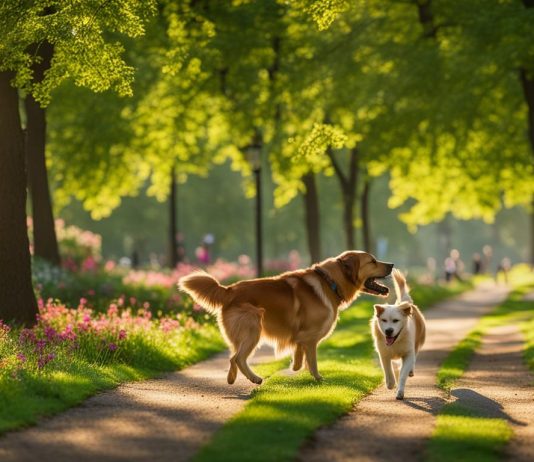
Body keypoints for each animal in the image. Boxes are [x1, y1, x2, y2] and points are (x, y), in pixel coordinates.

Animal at [180, 251, 394, 384]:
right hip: (253, 328)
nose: (392, 264)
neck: (330, 282)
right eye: (372, 261)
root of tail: (229, 290)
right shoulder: (310, 338)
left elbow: (299, 355)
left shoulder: (302, 337)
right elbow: (312, 361)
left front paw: (296, 366)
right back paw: (254, 378)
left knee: (232, 357)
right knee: (237, 358)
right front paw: (318, 379)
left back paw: (231, 379)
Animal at [372, 268, 428, 398]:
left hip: (417, 342)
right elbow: (388, 369)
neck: (396, 342)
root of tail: (404, 303)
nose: (389, 330)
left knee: (414, 357)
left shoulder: (407, 354)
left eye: (396, 320)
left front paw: (400, 391)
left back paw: (411, 371)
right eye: (384, 320)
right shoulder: (384, 353)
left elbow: (403, 374)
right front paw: (390, 383)